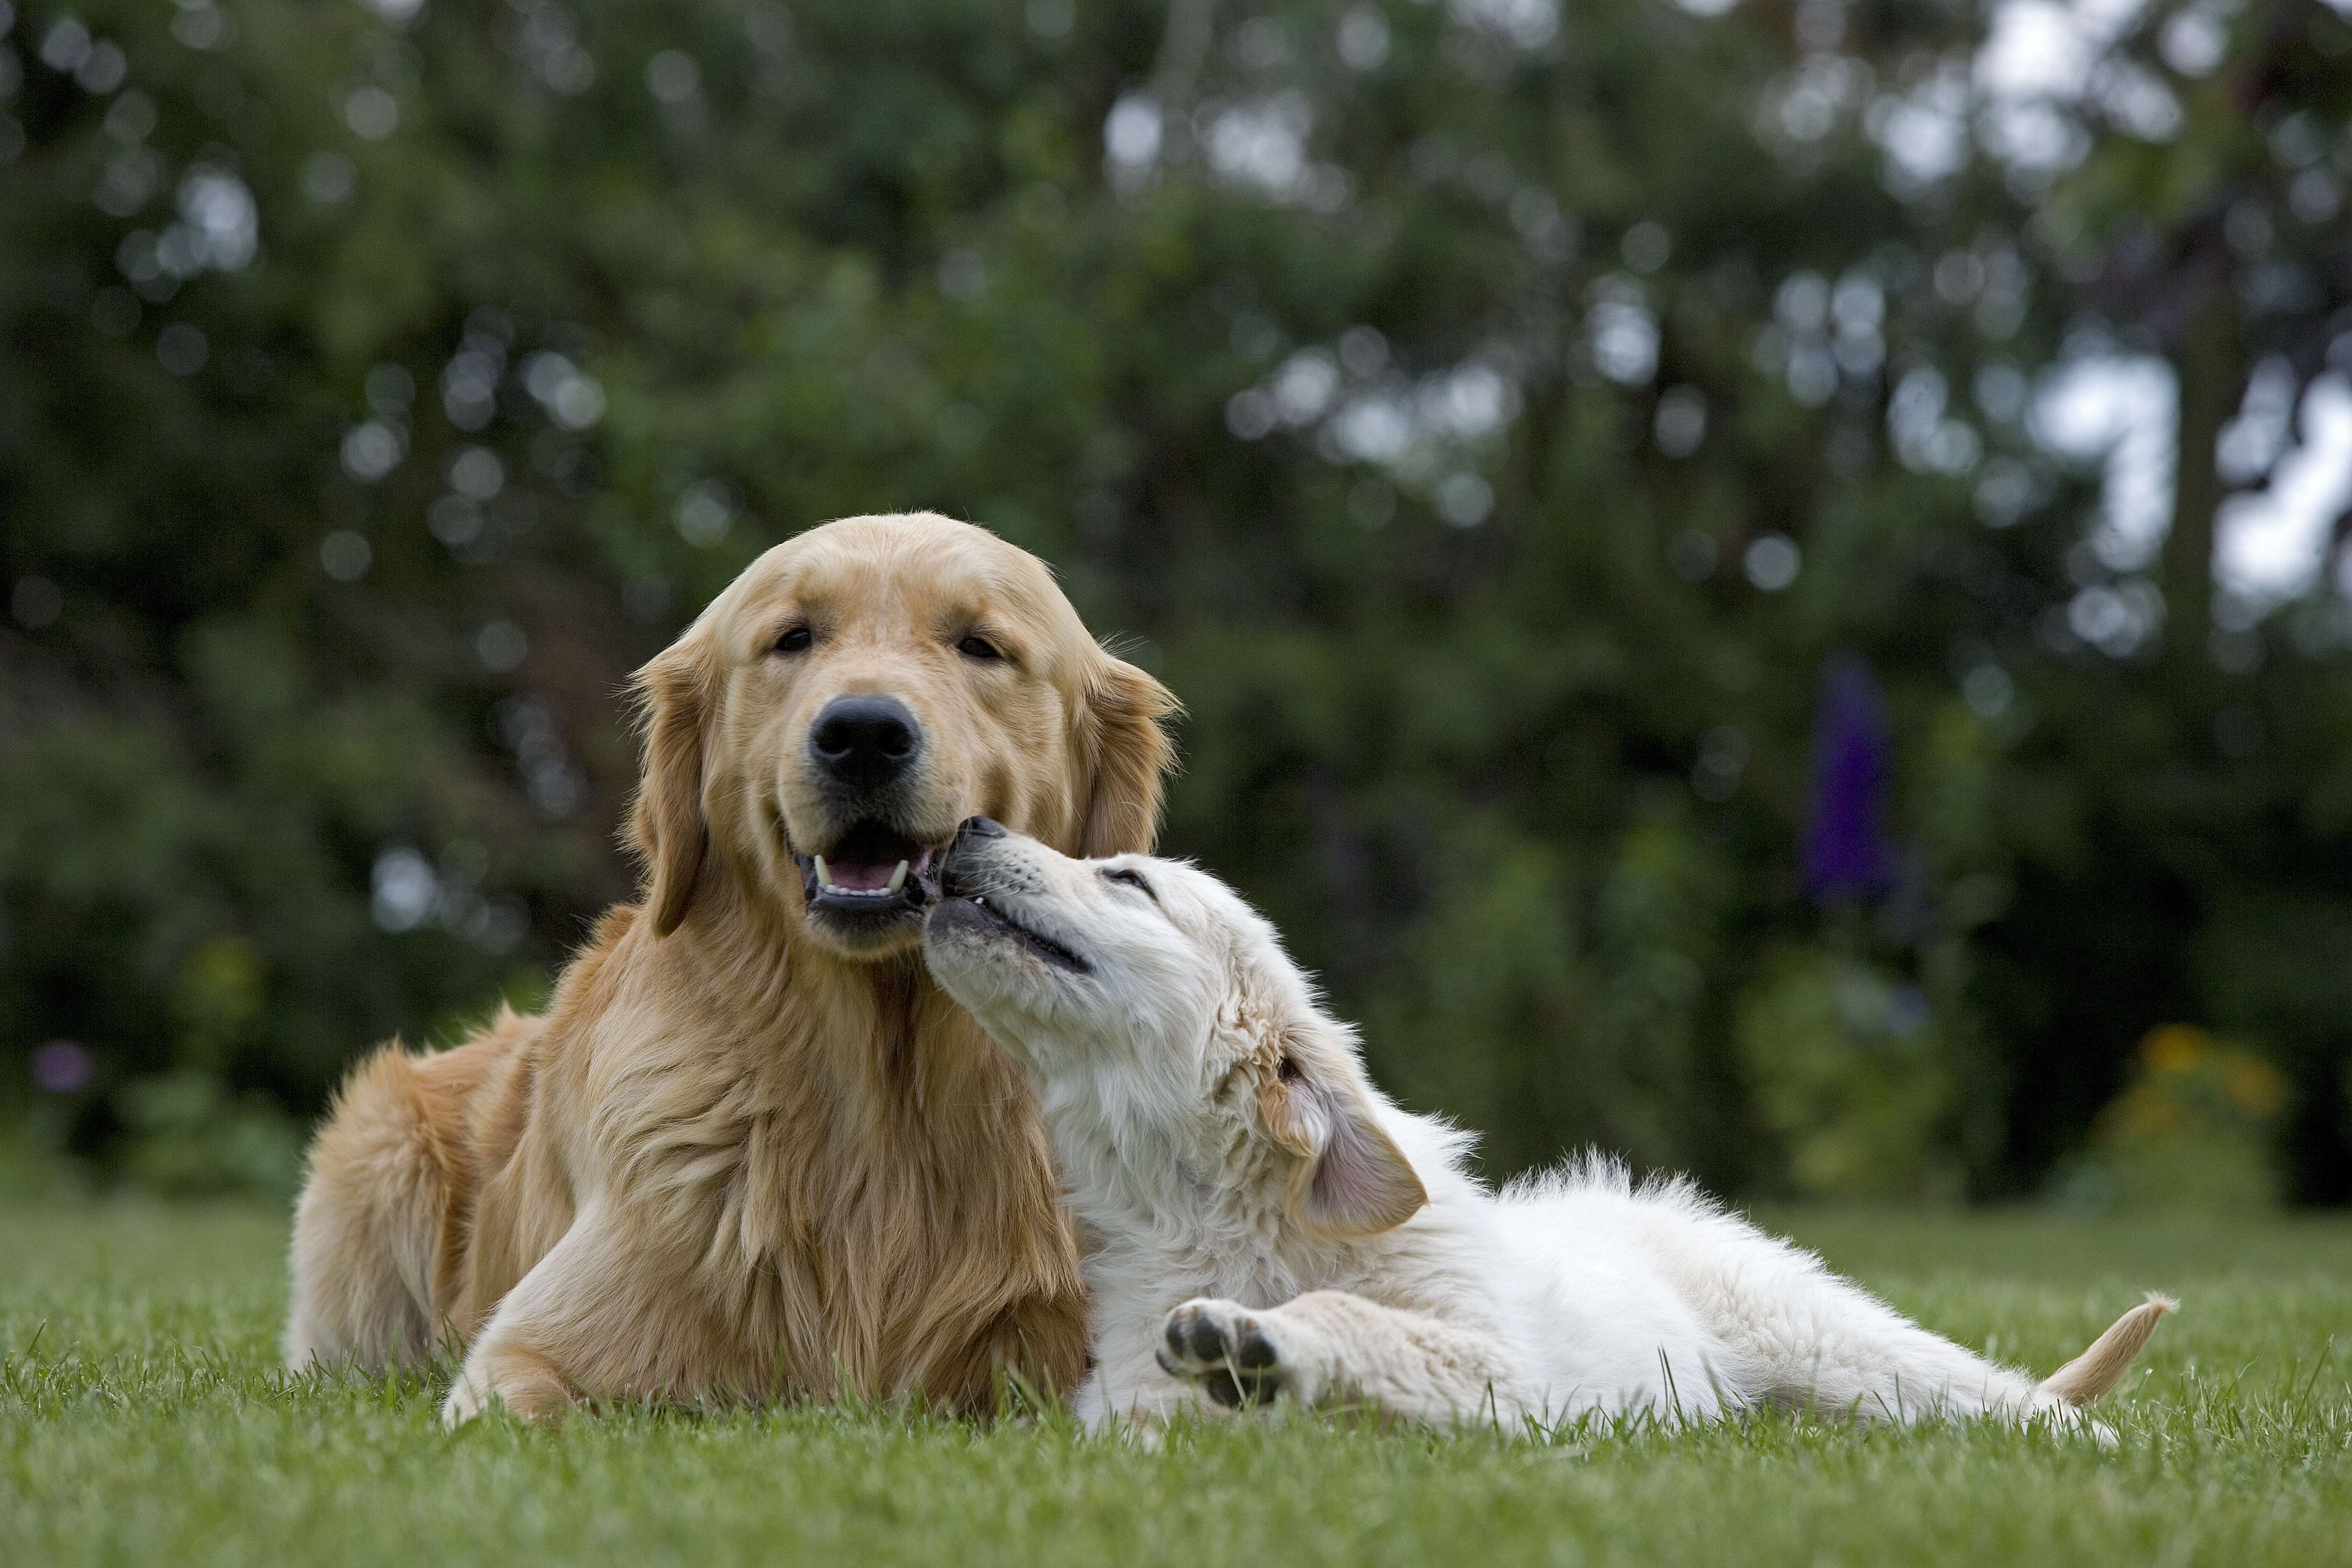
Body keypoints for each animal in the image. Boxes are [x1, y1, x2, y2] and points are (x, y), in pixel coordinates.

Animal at [917, 823, 2164, 1438]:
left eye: (1125, 877)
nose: (968, 820)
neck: (1208, 1211)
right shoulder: (1129, 1406)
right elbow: (1170, 1416)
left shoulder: (1507, 1375)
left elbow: (1359, 1321)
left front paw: (1258, 1339)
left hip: (1829, 1339)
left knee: (1997, 1398)